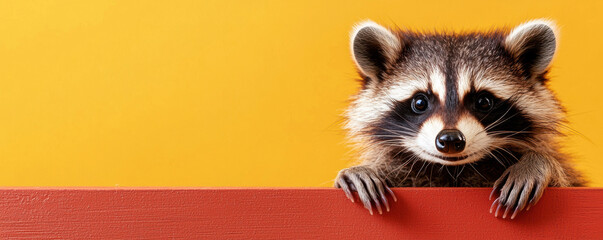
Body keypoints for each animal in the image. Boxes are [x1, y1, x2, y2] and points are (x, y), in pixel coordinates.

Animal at [336, 19, 584, 219]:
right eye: (420, 102)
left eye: (483, 102)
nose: (450, 139)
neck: (453, 171)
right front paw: (359, 171)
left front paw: (538, 163)